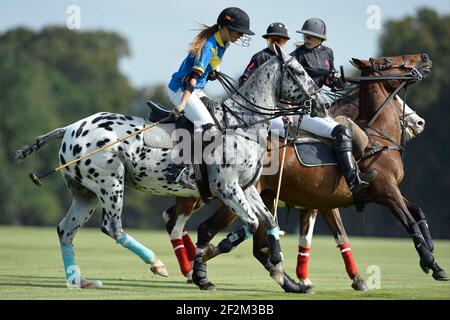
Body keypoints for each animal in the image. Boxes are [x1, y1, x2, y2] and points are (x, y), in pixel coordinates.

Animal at [15, 43, 326, 292]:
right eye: (298, 70)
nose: (322, 104)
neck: (244, 125)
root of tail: (70, 128)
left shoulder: (246, 188)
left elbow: (269, 221)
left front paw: (281, 269)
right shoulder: (226, 188)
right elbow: (249, 224)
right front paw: (207, 262)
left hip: (85, 193)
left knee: (65, 230)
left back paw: (79, 281)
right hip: (110, 183)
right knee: (112, 227)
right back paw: (156, 263)